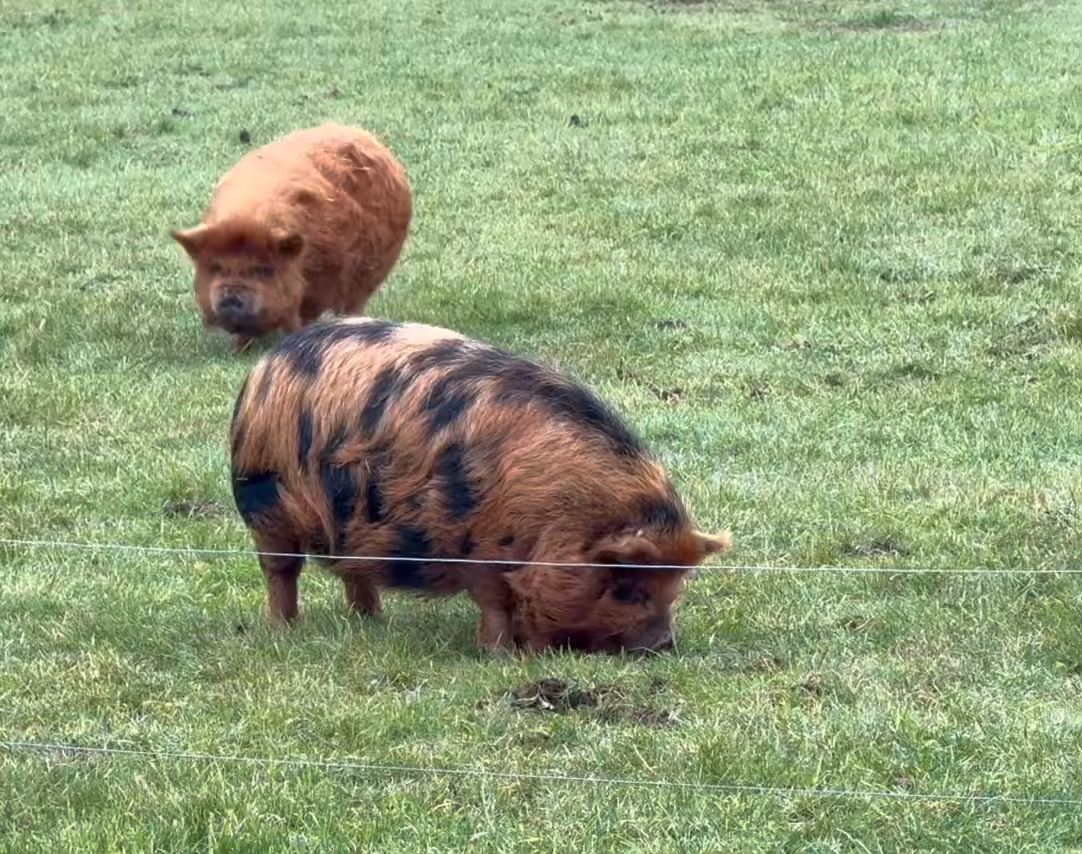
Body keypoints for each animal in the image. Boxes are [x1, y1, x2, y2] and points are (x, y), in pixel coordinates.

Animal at [228, 317, 730, 653]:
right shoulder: (479, 548)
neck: (556, 512)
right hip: (264, 504)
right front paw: (501, 655)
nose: (664, 645)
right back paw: (284, 630)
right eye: (628, 588)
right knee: (281, 571)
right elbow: (495, 603)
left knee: (356, 573)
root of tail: (266, 366)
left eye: (674, 589)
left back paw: (372, 623)